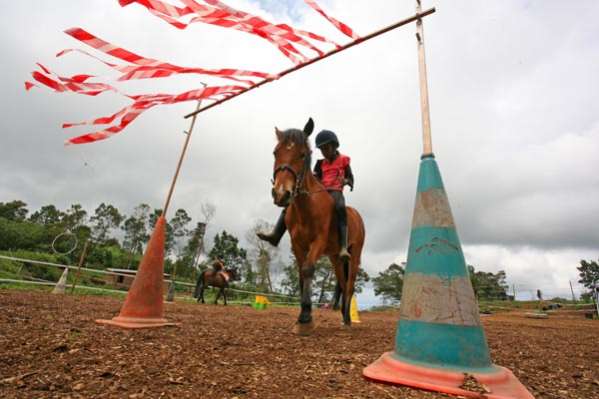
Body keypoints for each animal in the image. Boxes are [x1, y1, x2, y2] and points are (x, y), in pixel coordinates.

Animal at [272, 118, 366, 334]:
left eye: (302, 154)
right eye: (275, 153)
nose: (281, 194)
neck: (307, 206)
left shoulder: (318, 242)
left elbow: (308, 269)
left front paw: (306, 318)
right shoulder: (297, 245)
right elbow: (301, 274)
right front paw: (302, 317)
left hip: (355, 254)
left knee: (349, 285)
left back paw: (348, 320)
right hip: (335, 258)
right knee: (342, 282)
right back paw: (343, 317)